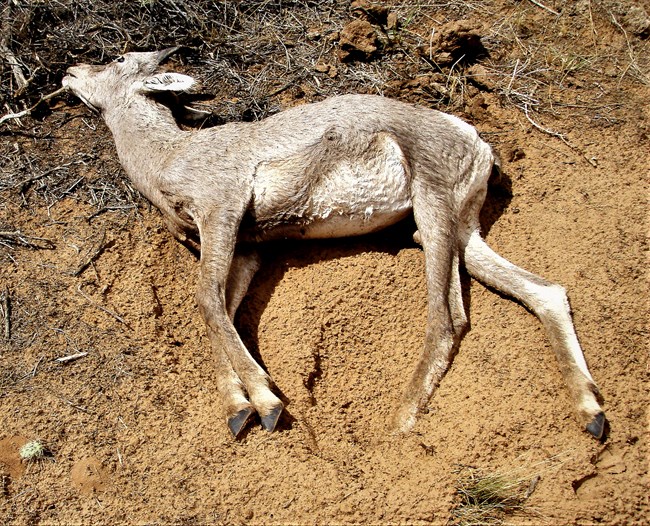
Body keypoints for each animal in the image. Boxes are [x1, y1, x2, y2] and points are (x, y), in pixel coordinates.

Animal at [60, 47, 604, 442]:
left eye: (118, 59)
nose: (70, 71)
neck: (170, 155)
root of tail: (476, 141)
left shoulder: (222, 213)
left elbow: (206, 302)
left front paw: (268, 405)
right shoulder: (248, 250)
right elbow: (223, 312)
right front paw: (238, 411)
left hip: (433, 219)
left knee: (448, 318)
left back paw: (401, 421)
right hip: (460, 232)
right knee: (544, 291)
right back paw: (592, 413)